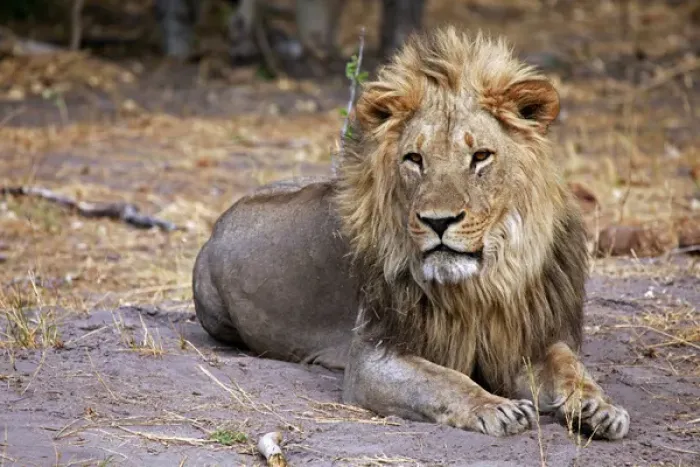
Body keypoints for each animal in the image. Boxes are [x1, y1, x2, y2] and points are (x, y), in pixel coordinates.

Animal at [193, 27, 630, 440]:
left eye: (480, 156)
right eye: (415, 159)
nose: (438, 222)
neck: (481, 286)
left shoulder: (522, 339)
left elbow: (569, 366)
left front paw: (600, 408)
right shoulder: (373, 355)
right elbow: (444, 380)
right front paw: (496, 408)